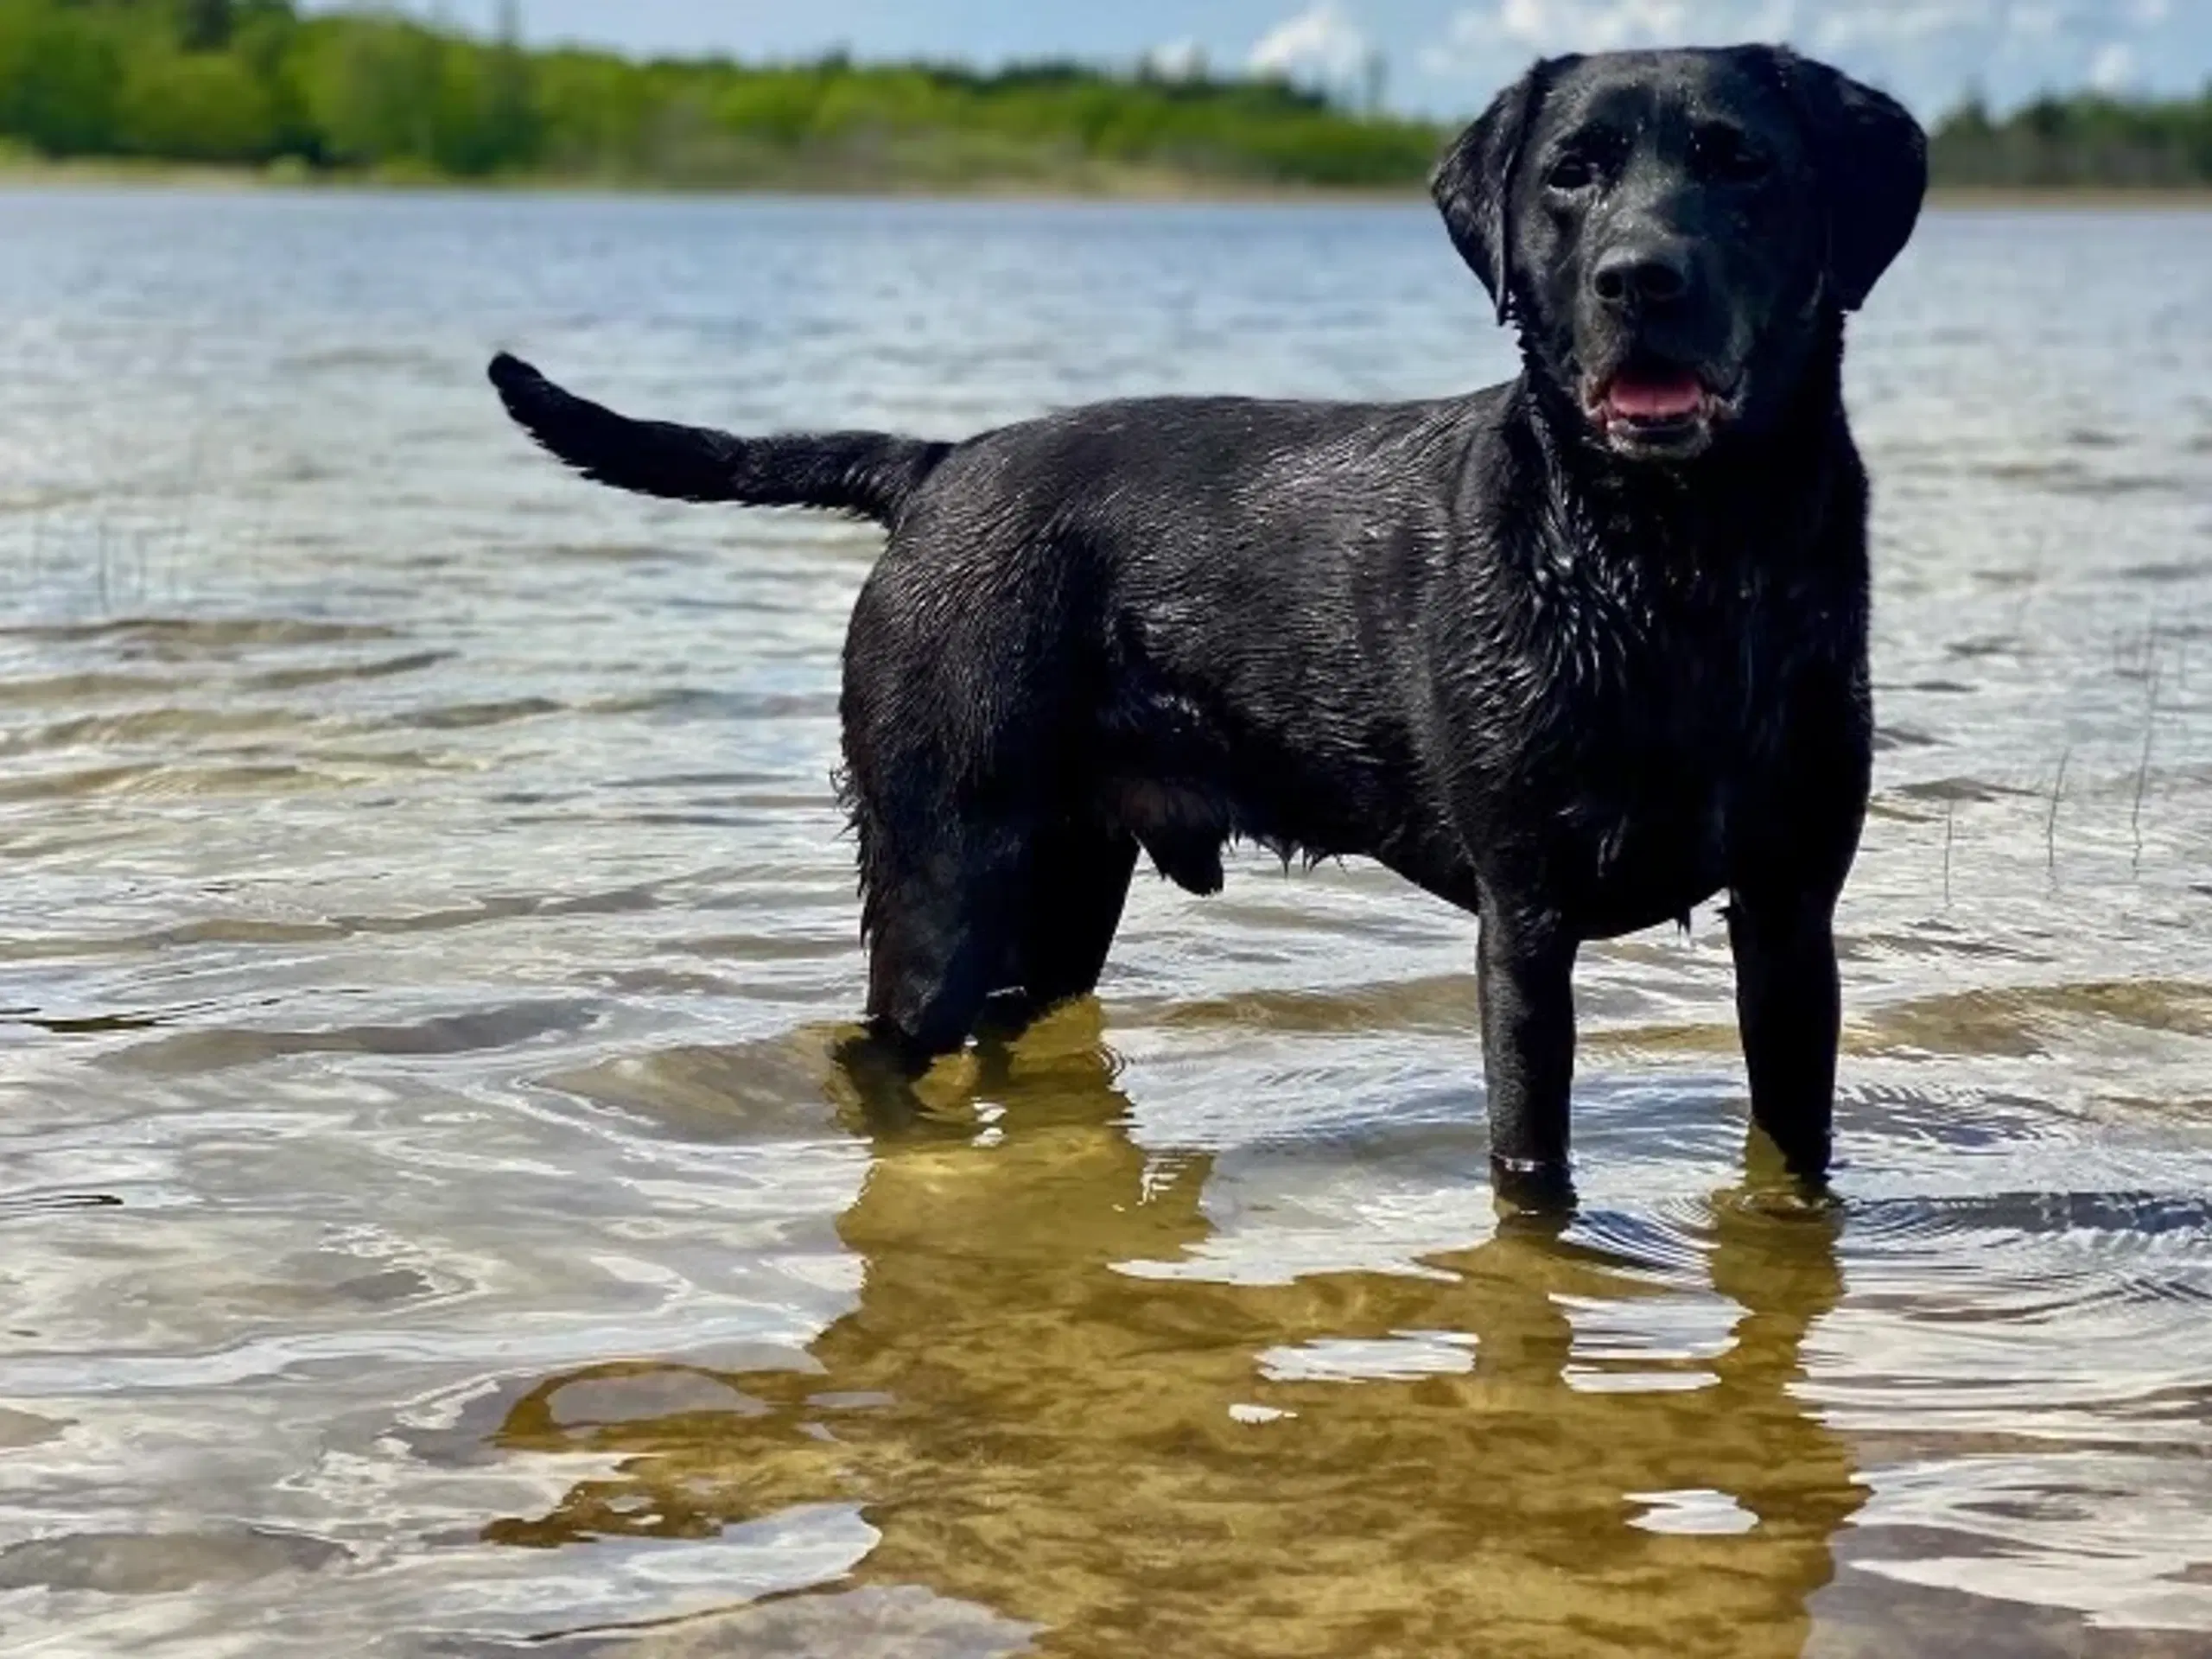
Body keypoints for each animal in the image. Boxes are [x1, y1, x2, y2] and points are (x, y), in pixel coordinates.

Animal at [493, 45, 1929, 1203]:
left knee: (1011, 1025)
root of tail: (938, 466)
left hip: (1066, 884)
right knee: (880, 1049)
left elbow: (1796, 1150)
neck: (1675, 565)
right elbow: (1534, 1172)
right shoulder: (1526, 921)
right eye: (1571, 174)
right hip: (941, 860)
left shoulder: (1792, 915)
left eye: (1739, 164)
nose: (1643, 277)